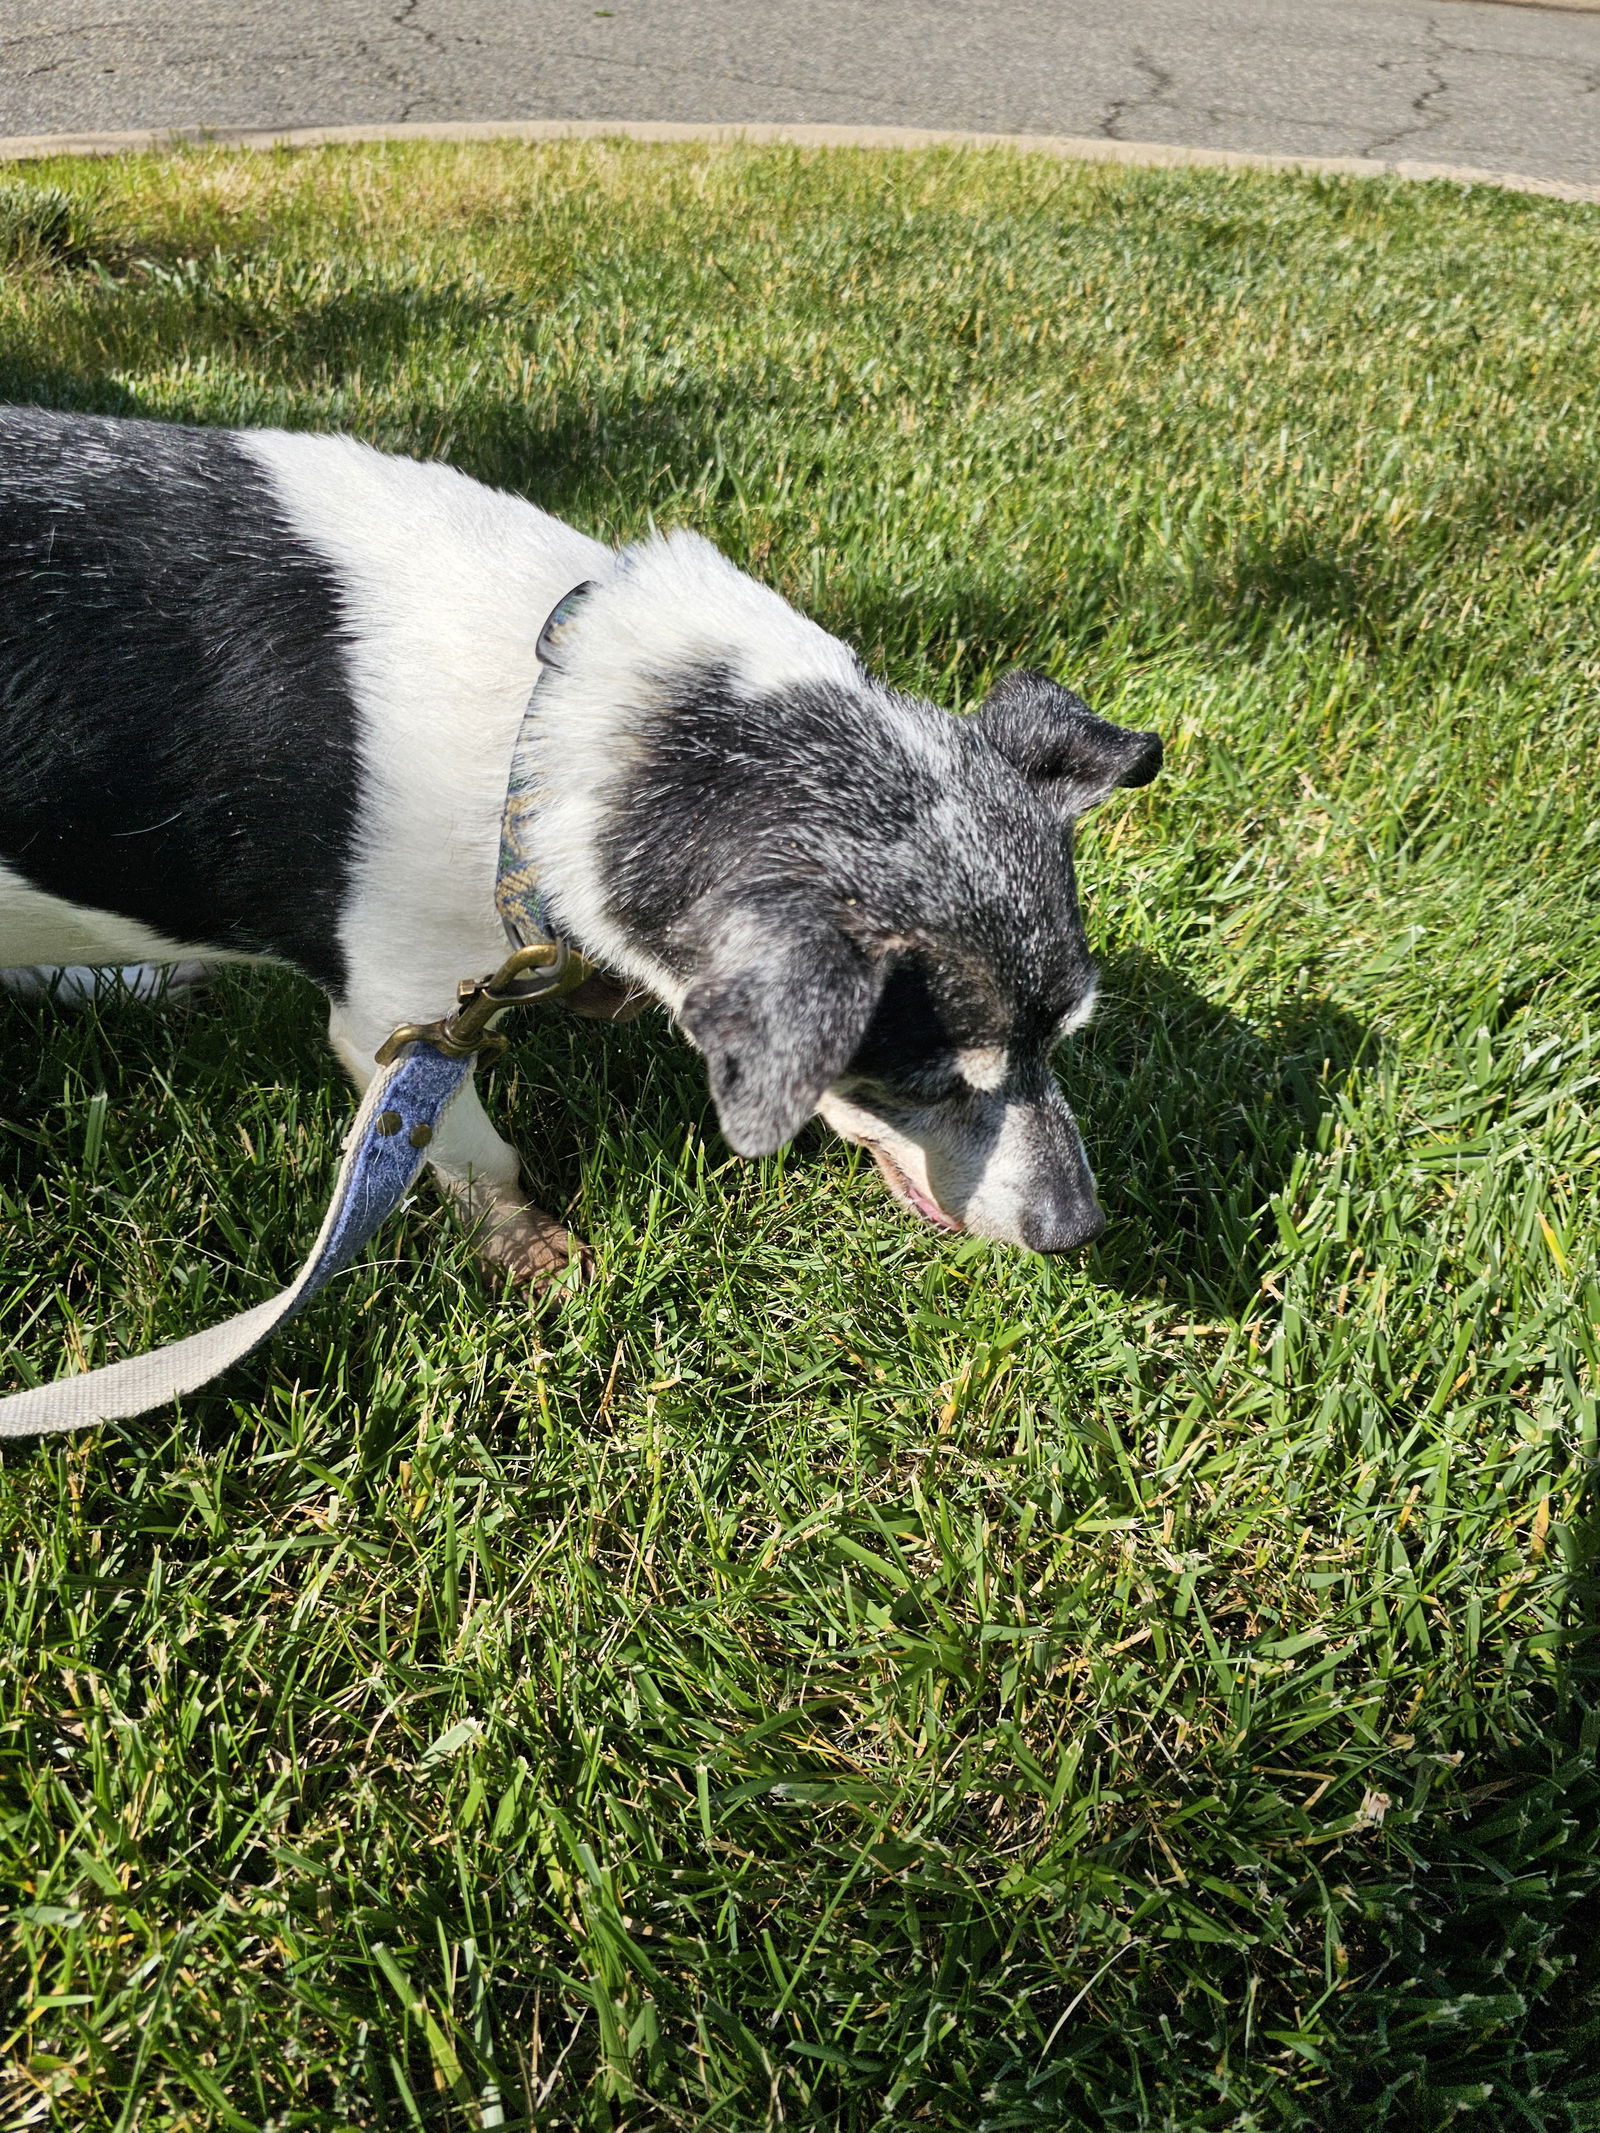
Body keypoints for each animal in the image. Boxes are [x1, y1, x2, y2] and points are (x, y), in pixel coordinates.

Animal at [0, 411, 1160, 1279]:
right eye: (928, 1083)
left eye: (1066, 1040)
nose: (1079, 1231)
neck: (551, 714)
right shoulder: (395, 1022)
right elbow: (473, 1154)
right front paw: (534, 1256)